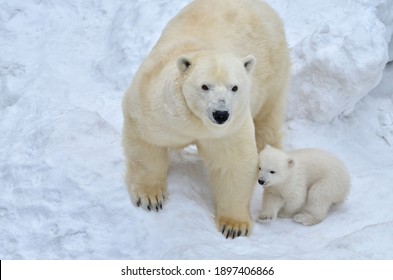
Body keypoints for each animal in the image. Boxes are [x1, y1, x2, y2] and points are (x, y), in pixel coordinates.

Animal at [121, 0, 290, 238]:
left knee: (267, 122)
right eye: (204, 86)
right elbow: (147, 143)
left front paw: (234, 226)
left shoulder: (231, 127)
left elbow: (233, 163)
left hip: (273, 74)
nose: (220, 114)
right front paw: (150, 198)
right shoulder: (156, 106)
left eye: (234, 87)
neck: (196, 123)